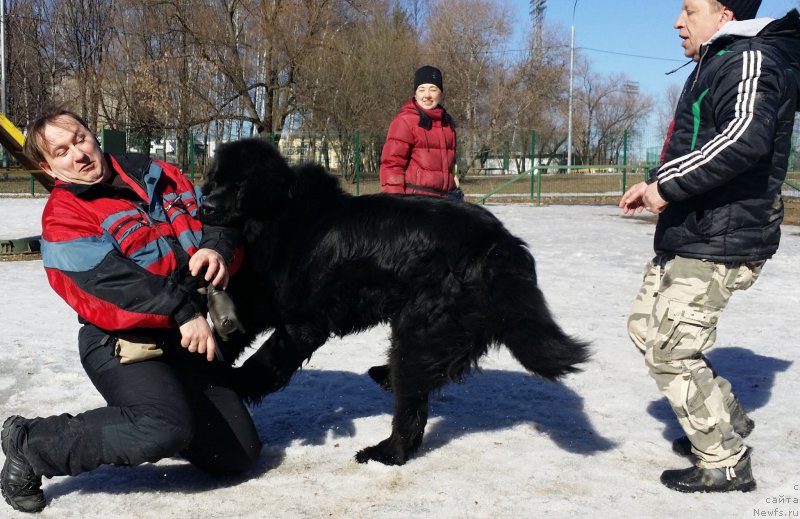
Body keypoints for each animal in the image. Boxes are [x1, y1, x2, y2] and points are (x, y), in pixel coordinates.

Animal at [198, 139, 588, 468]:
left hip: (417, 329)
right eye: (214, 181)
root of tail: (500, 243)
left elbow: (264, 360)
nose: (205, 206)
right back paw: (384, 379)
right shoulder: (253, 305)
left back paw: (386, 451)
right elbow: (225, 337)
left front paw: (235, 383)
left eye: (240, 185)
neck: (277, 220)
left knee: (411, 405)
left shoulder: (304, 323)